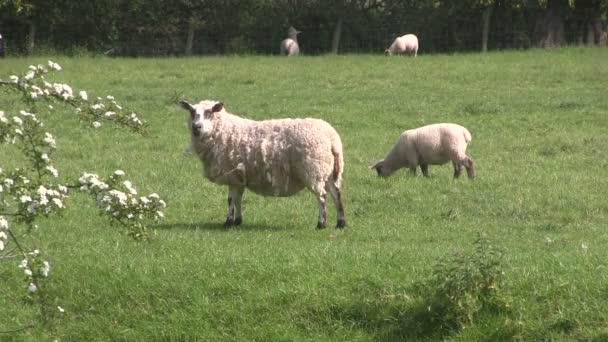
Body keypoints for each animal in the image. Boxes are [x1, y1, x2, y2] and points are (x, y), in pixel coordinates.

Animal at [178, 98, 346, 230]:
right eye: (192, 112)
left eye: (209, 112)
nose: (196, 127)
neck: (224, 131)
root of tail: (331, 138)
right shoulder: (239, 178)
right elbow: (238, 199)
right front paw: (238, 221)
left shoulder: (232, 175)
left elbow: (231, 200)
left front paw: (228, 222)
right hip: (329, 171)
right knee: (336, 194)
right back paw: (341, 223)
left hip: (314, 169)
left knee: (322, 196)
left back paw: (321, 224)